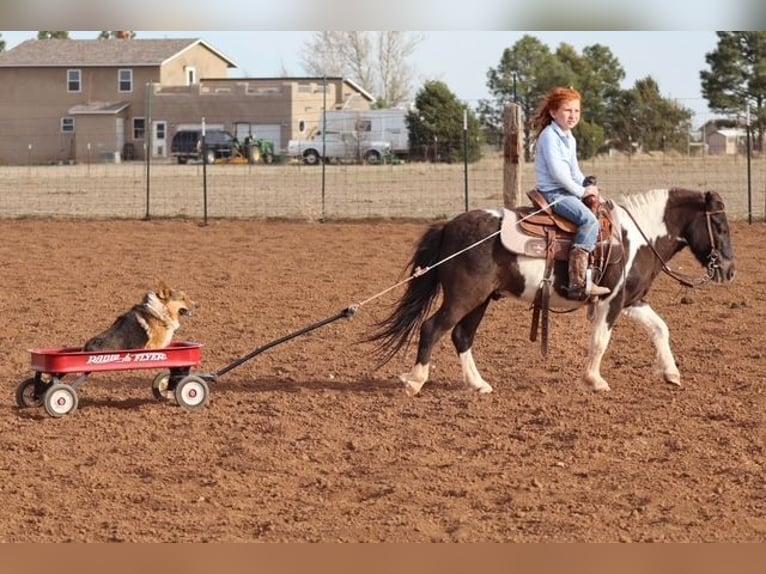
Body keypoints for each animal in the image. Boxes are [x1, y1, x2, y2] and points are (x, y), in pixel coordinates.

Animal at [367, 188, 736, 395]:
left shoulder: (631, 300)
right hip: (463, 297)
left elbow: (661, 328)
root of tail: (448, 226)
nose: (730, 270)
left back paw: (478, 384)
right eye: (719, 225)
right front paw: (594, 380)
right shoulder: (611, 301)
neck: (636, 237)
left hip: (480, 300)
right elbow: (600, 341)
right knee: (433, 328)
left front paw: (671, 374)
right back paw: (415, 380)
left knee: (461, 336)